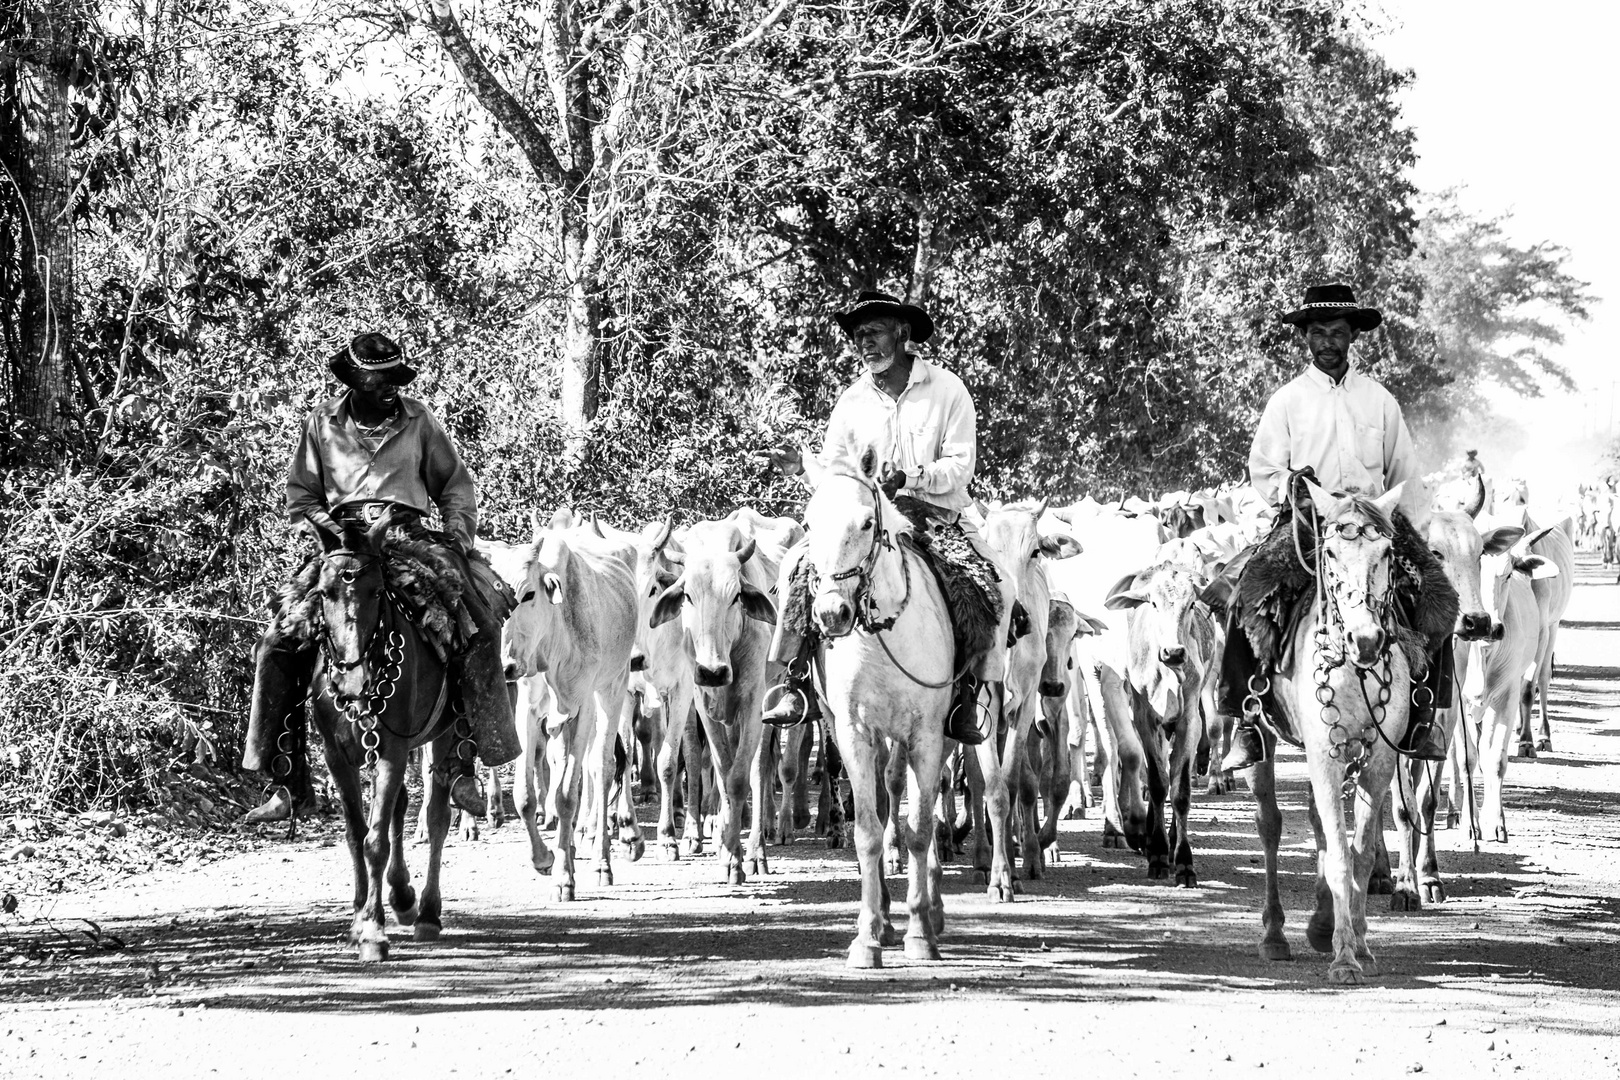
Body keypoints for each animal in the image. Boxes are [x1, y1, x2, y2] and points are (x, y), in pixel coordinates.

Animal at [307, 514, 463, 965]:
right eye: (324, 592)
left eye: (376, 591)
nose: (353, 680)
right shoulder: (336, 757)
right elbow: (356, 834)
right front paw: (360, 917)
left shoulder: (391, 750)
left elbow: (375, 840)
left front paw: (373, 931)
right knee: (401, 807)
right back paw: (402, 894)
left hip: (441, 733)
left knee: (435, 816)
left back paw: (426, 912)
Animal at [505, 511, 638, 900]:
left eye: (528, 594)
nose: (506, 664)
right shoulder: (528, 707)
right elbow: (524, 795)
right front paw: (544, 858)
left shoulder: (582, 705)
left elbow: (568, 794)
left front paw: (564, 878)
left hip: (613, 689)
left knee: (603, 768)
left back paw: (601, 862)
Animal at [644, 518, 784, 880]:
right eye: (688, 596)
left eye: (736, 596)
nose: (712, 671)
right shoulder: (702, 704)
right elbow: (719, 771)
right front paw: (724, 845)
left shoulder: (752, 701)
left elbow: (738, 778)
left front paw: (736, 857)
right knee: (700, 759)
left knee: (760, 768)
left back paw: (756, 847)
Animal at [803, 450, 952, 971]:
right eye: (808, 524)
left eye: (868, 522)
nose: (832, 615)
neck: (884, 632)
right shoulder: (852, 733)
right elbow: (867, 830)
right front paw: (868, 935)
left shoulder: (926, 735)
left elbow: (920, 828)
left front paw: (921, 932)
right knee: (887, 796)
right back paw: (887, 917)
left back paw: (930, 909)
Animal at [1244, 485, 1412, 984]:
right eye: (1332, 552)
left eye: (1386, 553)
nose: (1367, 640)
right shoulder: (1324, 757)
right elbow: (1339, 853)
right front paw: (1344, 959)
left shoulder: (1378, 764)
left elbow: (1359, 853)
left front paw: (1360, 945)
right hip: (1263, 740)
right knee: (1270, 825)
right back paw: (1275, 935)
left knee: (1318, 822)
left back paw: (1321, 924)